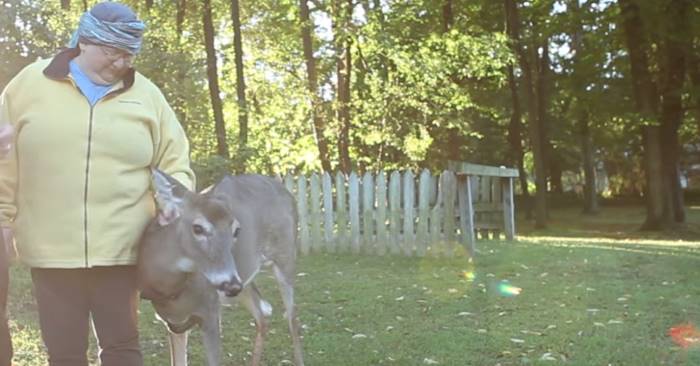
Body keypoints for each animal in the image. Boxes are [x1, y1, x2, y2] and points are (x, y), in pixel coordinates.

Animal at [137, 172, 304, 366]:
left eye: (237, 230)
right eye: (198, 228)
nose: (230, 283)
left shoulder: (211, 311)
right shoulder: (174, 323)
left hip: (285, 255)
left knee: (292, 317)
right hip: (245, 282)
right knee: (263, 316)